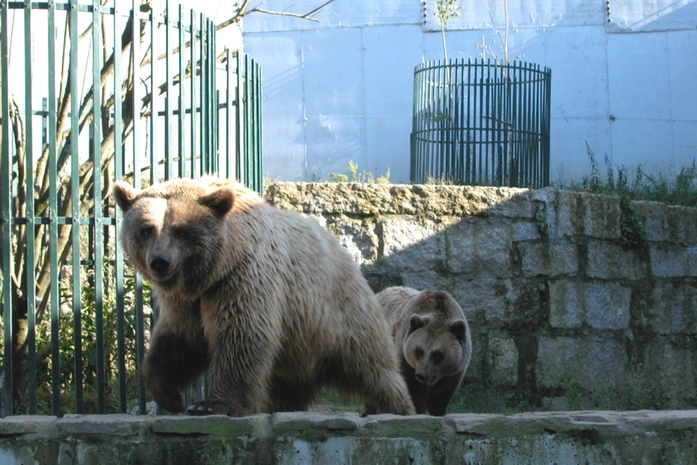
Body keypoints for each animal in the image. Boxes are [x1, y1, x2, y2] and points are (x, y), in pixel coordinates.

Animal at [113, 179, 414, 416]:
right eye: (146, 229)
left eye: (181, 230)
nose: (159, 261)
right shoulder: (188, 301)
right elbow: (180, 341)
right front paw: (168, 395)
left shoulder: (245, 277)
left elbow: (242, 334)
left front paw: (209, 404)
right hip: (296, 348)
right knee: (286, 389)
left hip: (341, 318)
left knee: (375, 370)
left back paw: (398, 408)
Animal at [378, 284, 470, 416]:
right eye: (418, 351)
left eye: (437, 354)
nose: (421, 374)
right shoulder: (406, 362)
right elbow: (413, 391)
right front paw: (418, 411)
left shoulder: (453, 372)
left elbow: (441, 395)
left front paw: (438, 412)